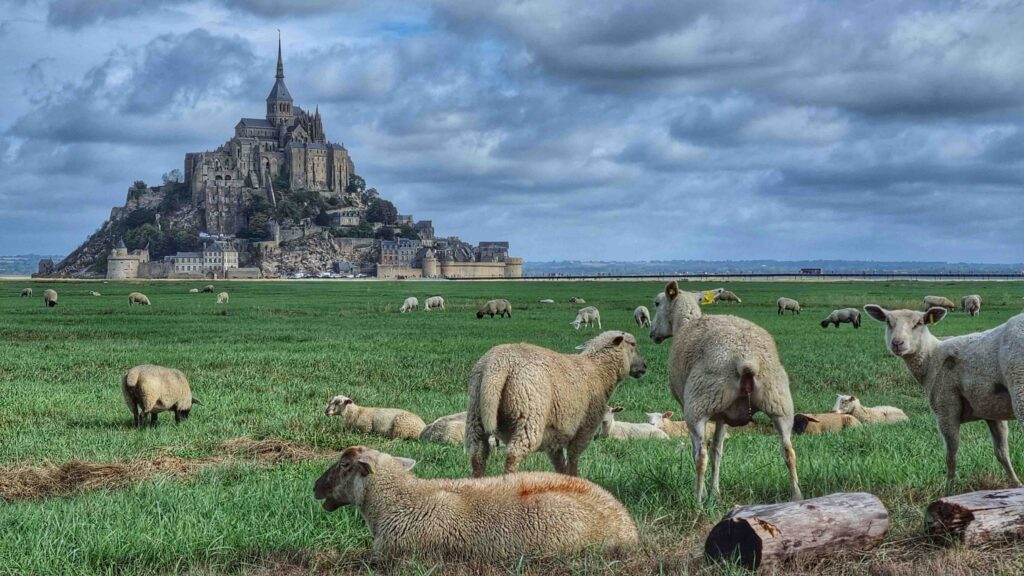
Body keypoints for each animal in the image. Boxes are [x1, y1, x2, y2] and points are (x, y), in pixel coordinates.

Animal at [466, 330, 643, 473]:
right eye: (633, 344)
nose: (645, 366)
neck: (599, 372)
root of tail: (498, 365)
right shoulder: (584, 429)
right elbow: (573, 460)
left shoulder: (555, 437)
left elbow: (560, 465)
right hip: (529, 415)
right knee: (513, 455)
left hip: (476, 413)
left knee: (478, 454)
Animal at [651, 280, 802, 500]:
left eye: (656, 303)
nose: (652, 333)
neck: (684, 324)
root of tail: (747, 359)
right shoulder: (723, 415)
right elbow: (718, 450)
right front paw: (715, 493)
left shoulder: (692, 408)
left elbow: (701, 450)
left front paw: (708, 493)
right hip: (779, 403)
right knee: (789, 451)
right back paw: (797, 495)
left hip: (698, 405)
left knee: (700, 456)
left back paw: (697, 500)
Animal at [864, 303, 1024, 485]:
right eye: (888, 322)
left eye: (919, 323)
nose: (897, 343)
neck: (931, 357)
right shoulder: (990, 409)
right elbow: (1002, 453)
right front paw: (1016, 483)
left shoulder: (946, 406)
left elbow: (951, 456)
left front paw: (950, 486)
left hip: (1019, 382)